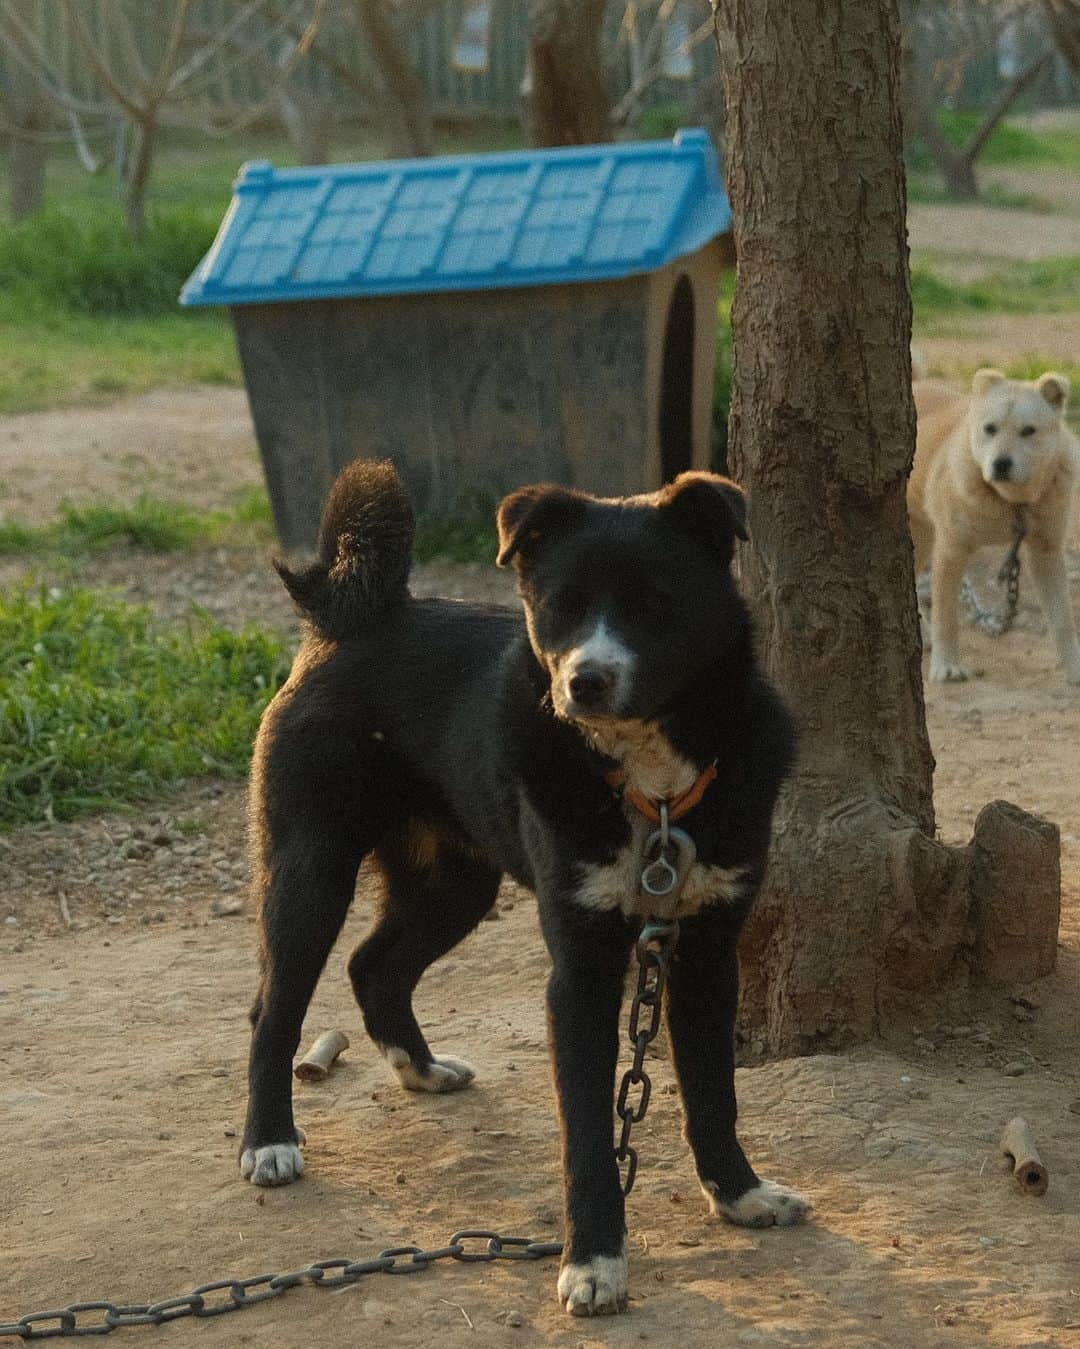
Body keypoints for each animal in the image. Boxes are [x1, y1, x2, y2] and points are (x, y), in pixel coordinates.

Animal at [240, 464, 803, 1316]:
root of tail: (354, 618)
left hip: (455, 881)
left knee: (375, 964)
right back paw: (269, 1140)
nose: (586, 680)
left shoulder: (708, 951)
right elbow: (588, 1137)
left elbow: (713, 1090)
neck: (652, 789)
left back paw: (420, 1067)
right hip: (311, 869)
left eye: (654, 601)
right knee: (273, 1008)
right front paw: (594, 1261)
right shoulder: (580, 972)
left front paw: (738, 1193)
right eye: (562, 604)